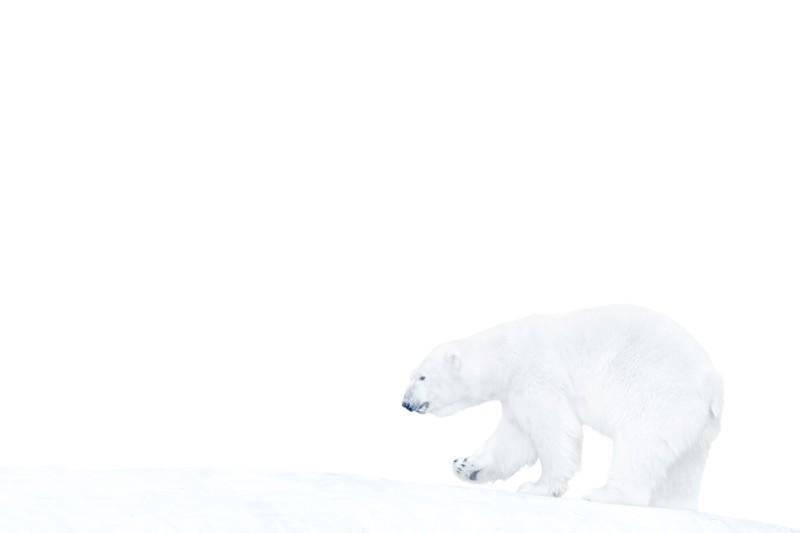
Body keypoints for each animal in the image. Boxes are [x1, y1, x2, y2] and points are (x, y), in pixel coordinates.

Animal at [402, 305, 723, 510]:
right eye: (412, 375)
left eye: (422, 376)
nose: (405, 403)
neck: (506, 351)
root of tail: (713, 386)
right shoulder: (514, 394)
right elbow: (514, 440)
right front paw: (466, 466)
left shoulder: (536, 374)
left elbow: (554, 428)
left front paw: (539, 487)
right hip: (698, 426)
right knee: (684, 465)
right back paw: (673, 504)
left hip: (659, 395)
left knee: (641, 445)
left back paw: (605, 493)